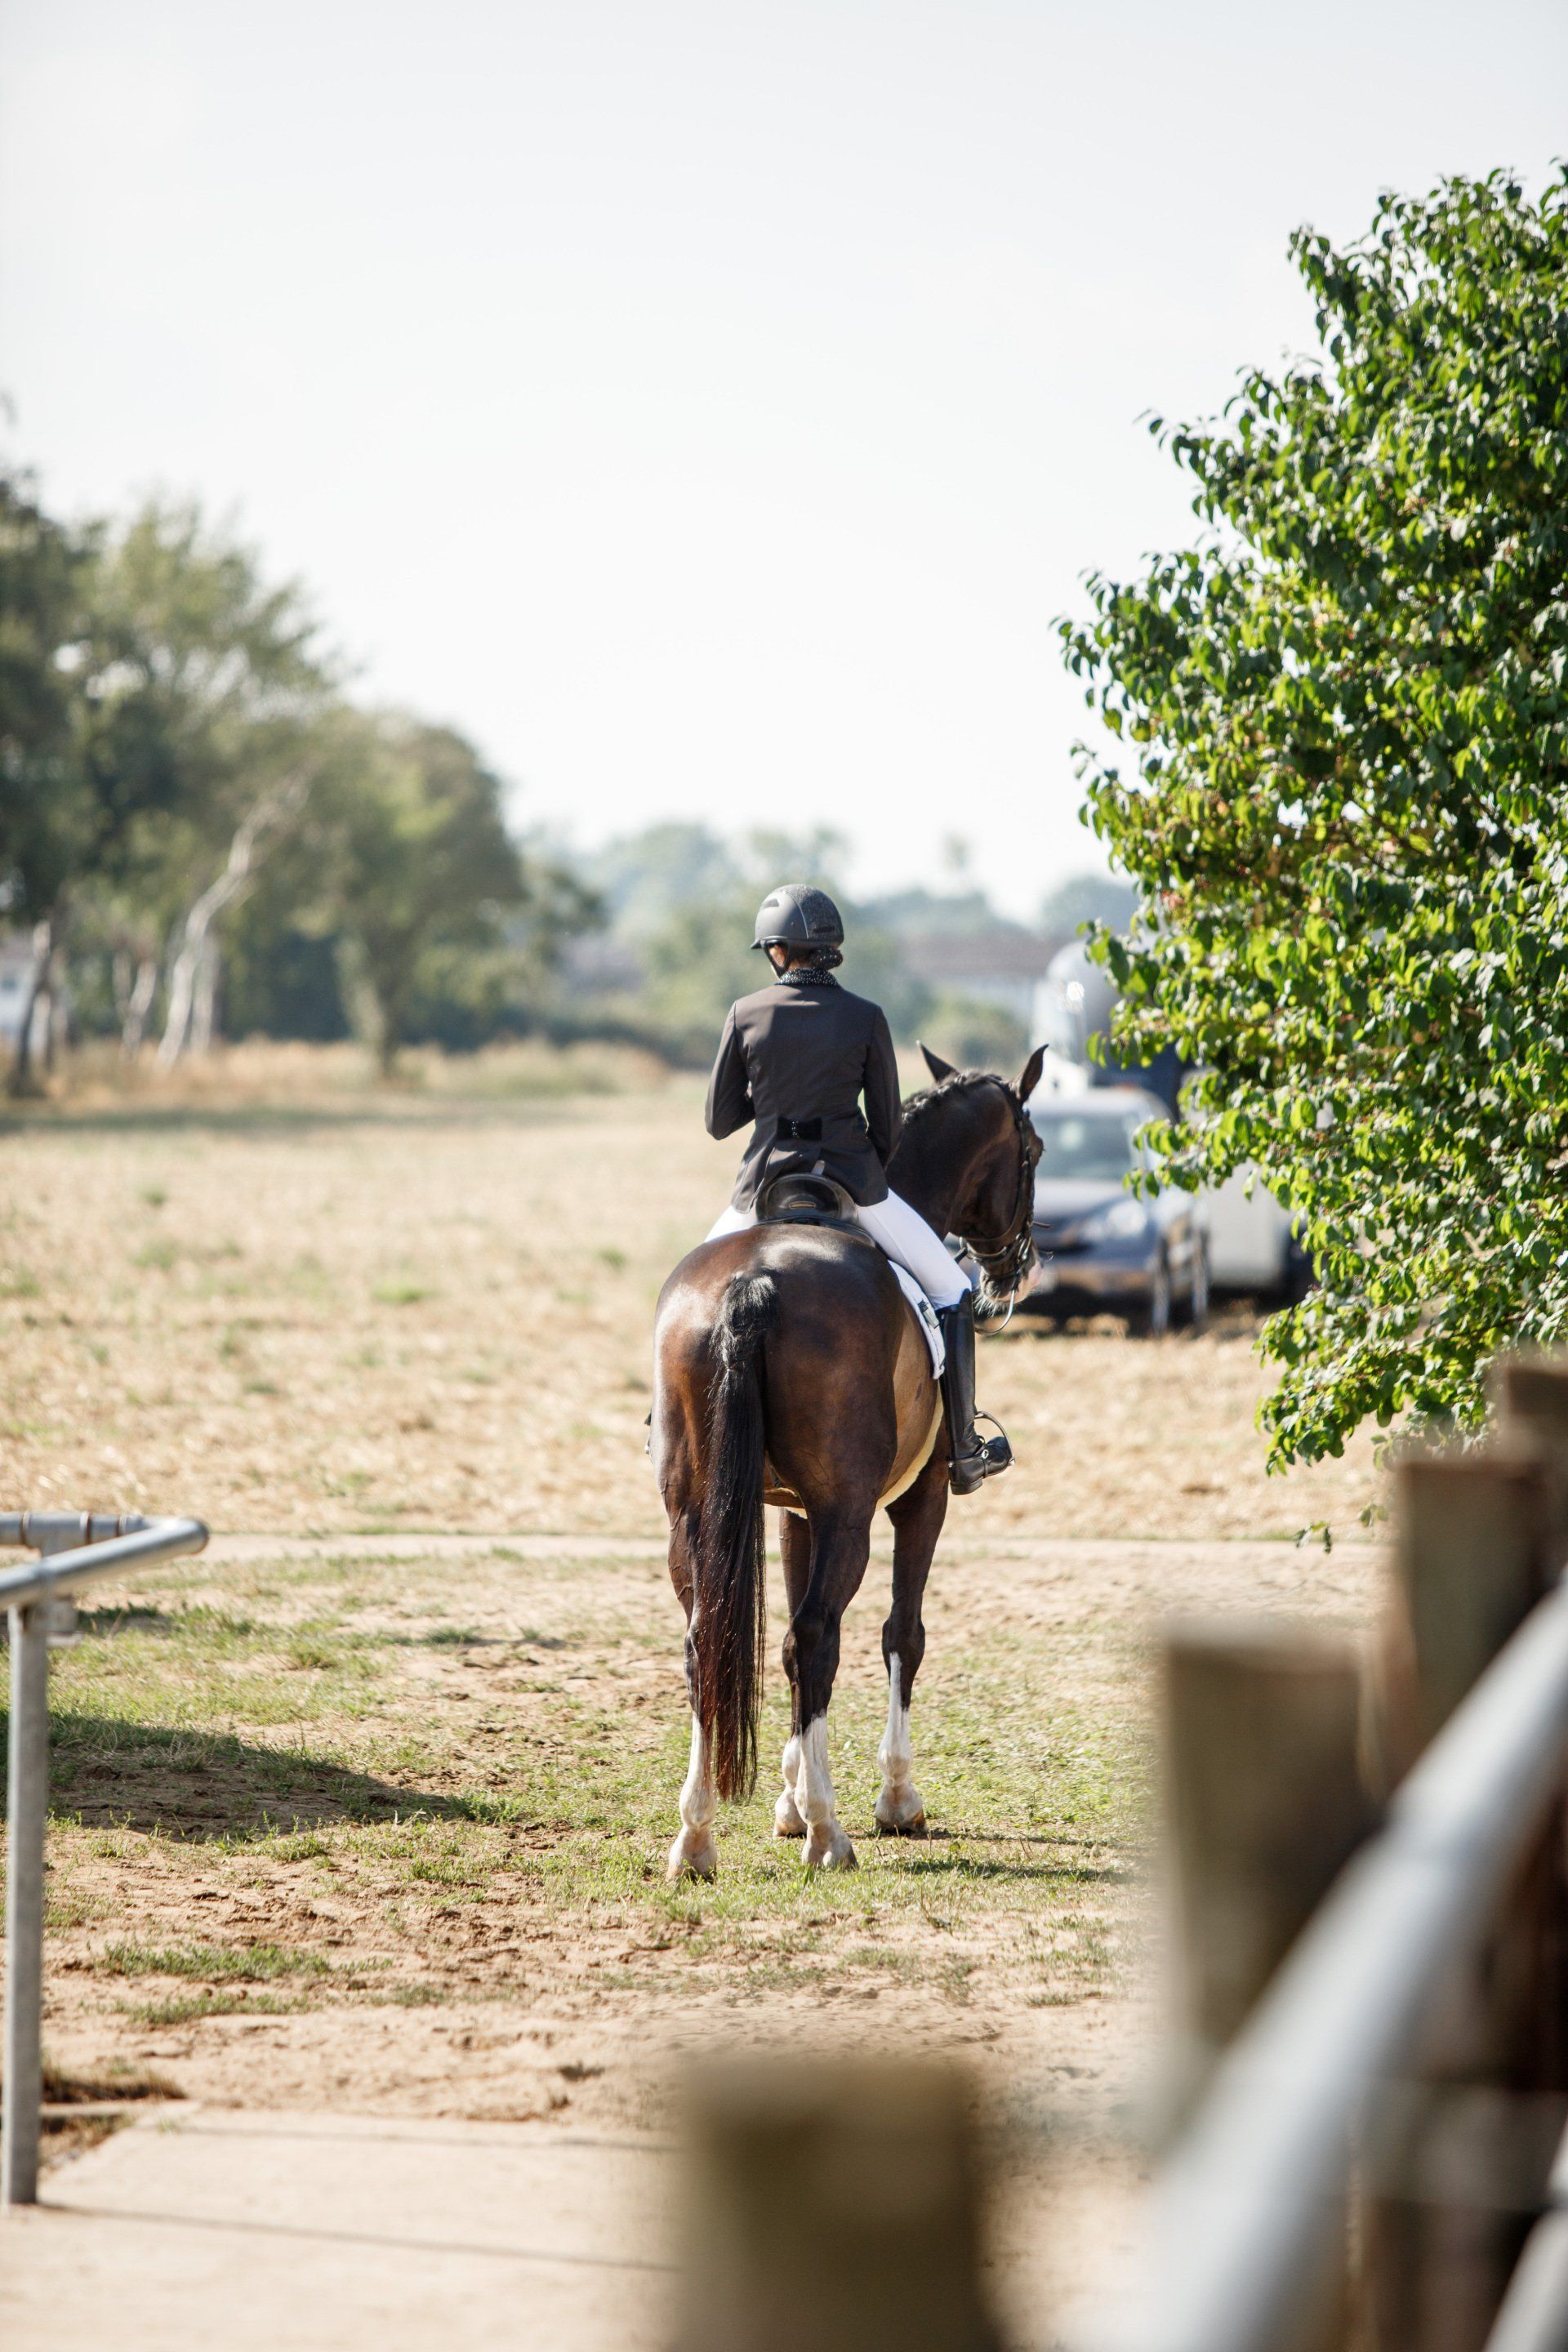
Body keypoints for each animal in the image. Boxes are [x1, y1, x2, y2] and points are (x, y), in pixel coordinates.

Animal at [650, 1043, 1044, 1877]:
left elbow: (785, 1652)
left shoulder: (793, 1512)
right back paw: (831, 1833)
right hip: (851, 1514)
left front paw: (788, 1799)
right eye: (1031, 1150)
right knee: (818, 1635)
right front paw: (891, 1799)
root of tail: (753, 1283)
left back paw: (696, 1838)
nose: (1014, 1272)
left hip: (692, 1513)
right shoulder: (917, 1497)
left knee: (708, 1641)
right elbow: (902, 1632)